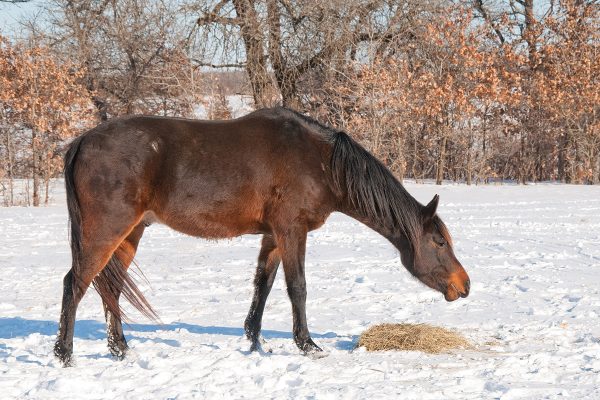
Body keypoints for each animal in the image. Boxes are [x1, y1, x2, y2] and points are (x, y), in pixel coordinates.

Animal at [54, 106, 472, 366]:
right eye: (439, 242)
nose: (464, 285)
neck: (321, 162)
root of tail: (81, 142)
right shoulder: (292, 230)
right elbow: (297, 287)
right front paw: (308, 345)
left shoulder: (273, 236)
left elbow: (263, 286)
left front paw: (255, 342)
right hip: (105, 231)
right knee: (76, 282)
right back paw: (65, 353)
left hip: (130, 233)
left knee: (110, 287)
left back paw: (120, 350)